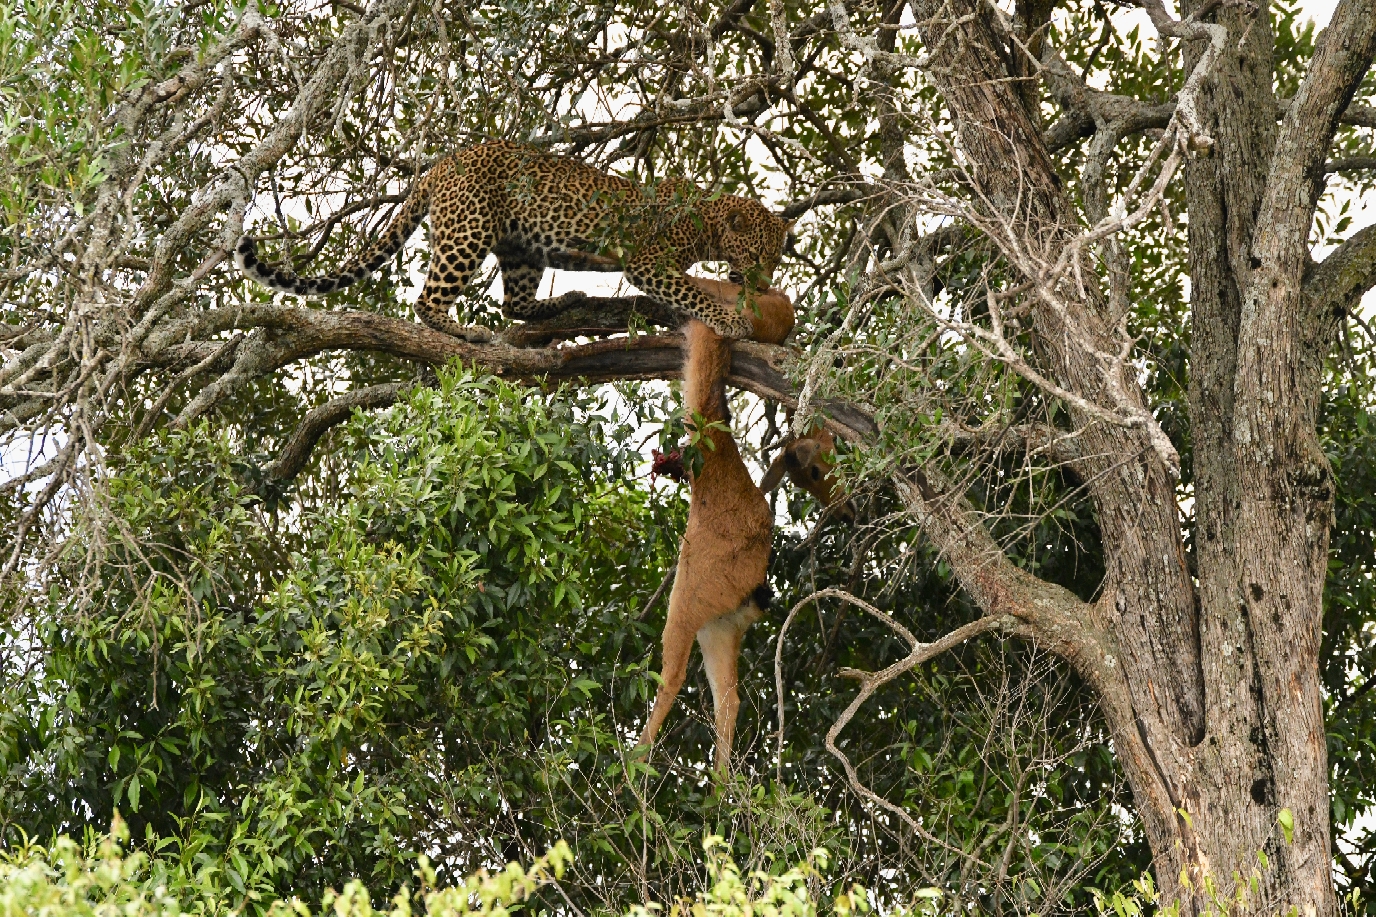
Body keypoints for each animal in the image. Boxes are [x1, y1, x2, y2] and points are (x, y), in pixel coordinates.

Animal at [235, 141, 792, 341]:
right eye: (759, 254)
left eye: (774, 257)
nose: (765, 282)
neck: (708, 224)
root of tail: (442, 164)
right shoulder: (649, 262)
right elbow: (691, 291)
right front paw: (728, 320)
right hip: (468, 232)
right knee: (428, 299)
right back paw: (464, 332)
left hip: (521, 249)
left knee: (516, 305)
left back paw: (567, 299)